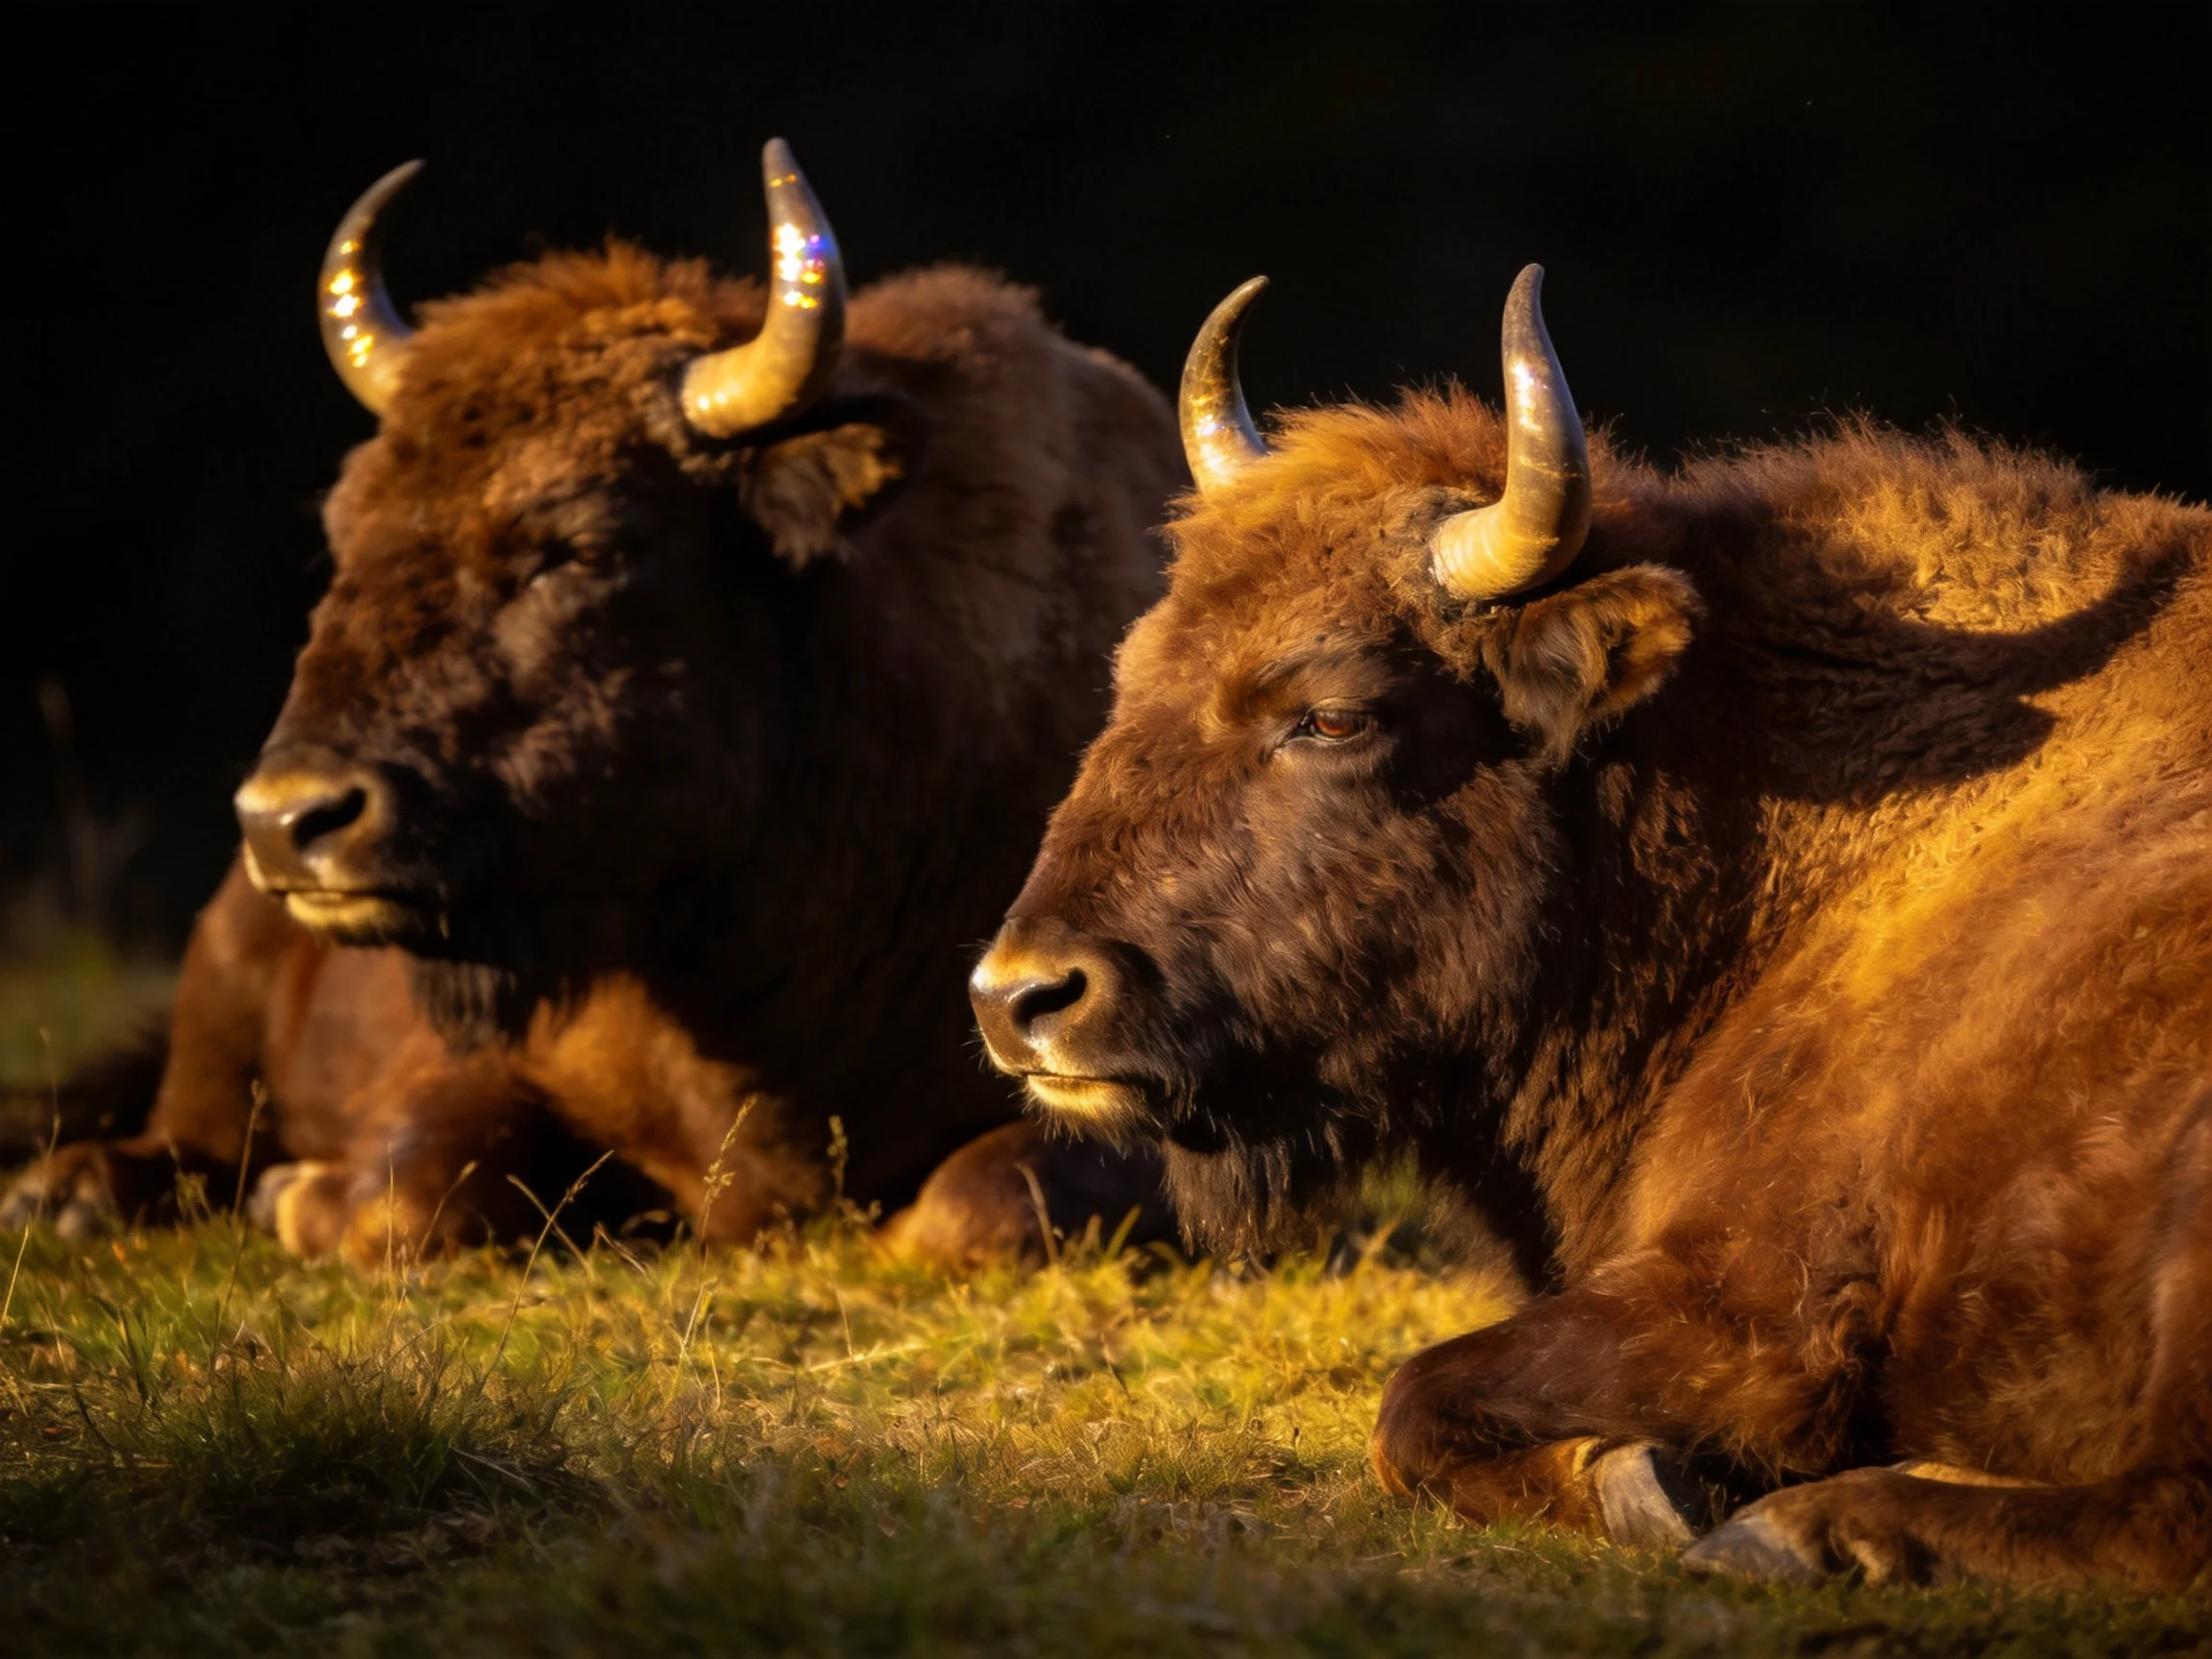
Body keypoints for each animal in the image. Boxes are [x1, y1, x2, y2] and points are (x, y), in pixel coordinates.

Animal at [6, 142, 1180, 1266]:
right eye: (343, 523)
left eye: (583, 545)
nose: (290, 817)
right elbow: (417, 1190)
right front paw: (288, 1196)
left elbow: (991, 1198)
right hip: (225, 962)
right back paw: (66, 1195)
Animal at [970, 266, 2210, 1589]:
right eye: (1132, 665)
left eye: (1336, 716)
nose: (1021, 997)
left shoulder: (1755, 1304)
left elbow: (1414, 1401)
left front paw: (1652, 1485)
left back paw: (1805, 1533)